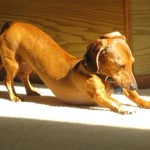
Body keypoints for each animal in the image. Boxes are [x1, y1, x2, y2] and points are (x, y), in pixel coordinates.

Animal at [0, 21, 150, 114]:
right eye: (120, 65)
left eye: (132, 62)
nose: (135, 86)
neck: (102, 76)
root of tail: (12, 24)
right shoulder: (98, 95)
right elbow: (114, 100)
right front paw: (123, 107)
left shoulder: (124, 86)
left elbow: (135, 97)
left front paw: (146, 102)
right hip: (12, 63)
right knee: (8, 80)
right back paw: (14, 97)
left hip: (29, 64)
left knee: (23, 76)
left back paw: (31, 91)